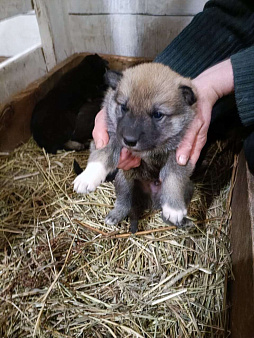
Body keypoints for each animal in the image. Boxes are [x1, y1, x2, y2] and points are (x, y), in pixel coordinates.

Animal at [73, 62, 196, 232]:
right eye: (124, 107)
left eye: (158, 115)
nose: (129, 140)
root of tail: (151, 201)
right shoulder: (111, 136)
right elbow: (102, 155)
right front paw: (88, 177)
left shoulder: (180, 154)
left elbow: (173, 178)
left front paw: (174, 208)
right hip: (123, 181)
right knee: (124, 201)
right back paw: (115, 215)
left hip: (189, 187)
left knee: (163, 215)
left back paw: (181, 222)